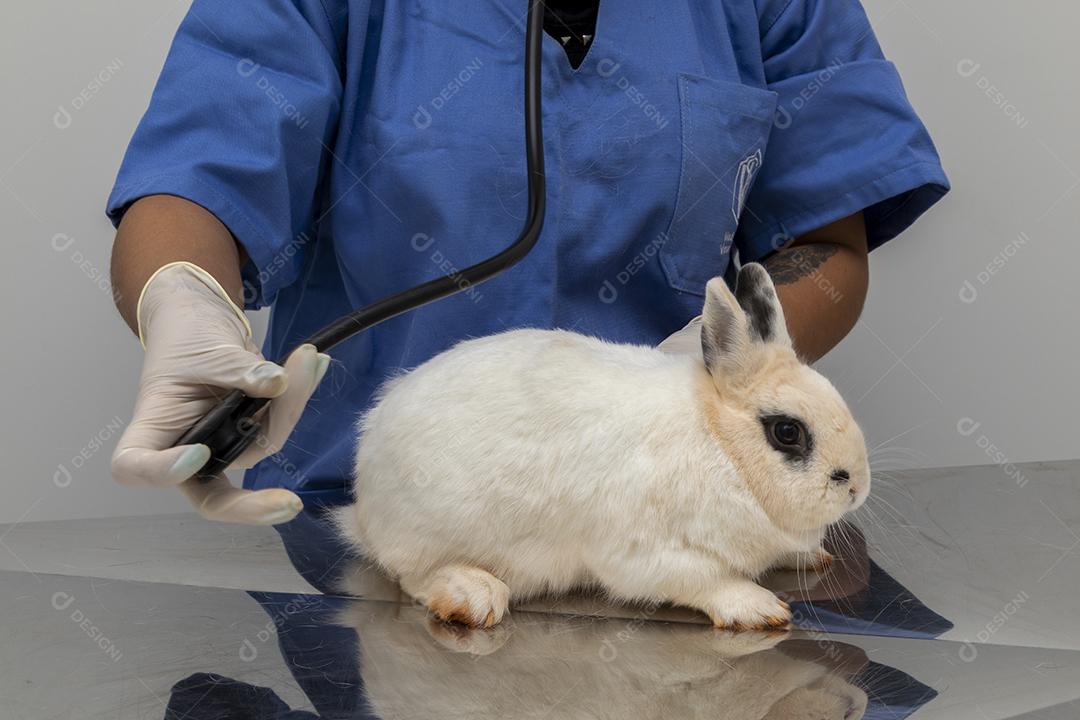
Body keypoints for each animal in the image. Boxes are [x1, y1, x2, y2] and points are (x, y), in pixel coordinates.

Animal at [335, 263, 870, 630]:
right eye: (787, 432)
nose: (856, 487)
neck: (721, 445)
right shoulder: (645, 552)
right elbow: (703, 580)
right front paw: (759, 608)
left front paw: (811, 557)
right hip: (430, 535)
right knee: (412, 575)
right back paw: (472, 595)